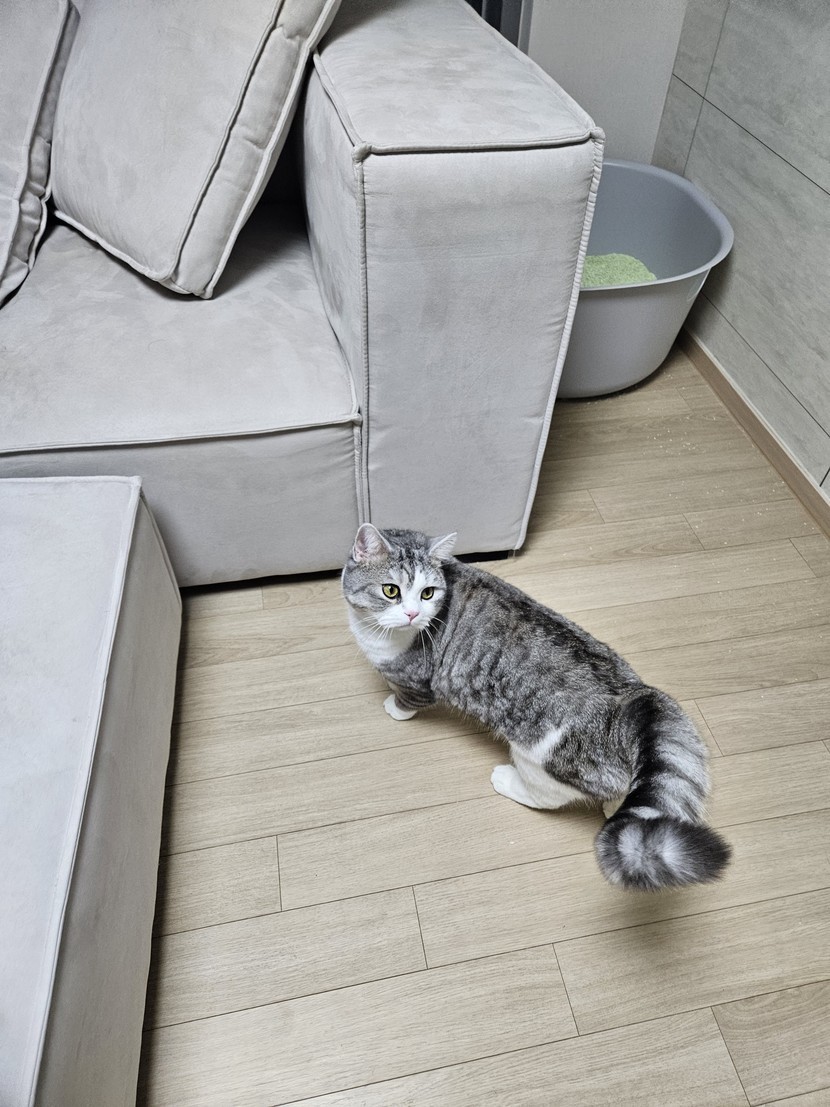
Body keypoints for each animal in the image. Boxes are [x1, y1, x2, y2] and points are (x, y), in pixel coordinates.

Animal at [343, 523, 731, 892]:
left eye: (428, 593)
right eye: (391, 590)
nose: (411, 614)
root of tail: (631, 700)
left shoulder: (417, 681)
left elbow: (407, 699)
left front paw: (394, 706)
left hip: (539, 758)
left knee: (547, 796)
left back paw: (507, 780)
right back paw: (615, 804)